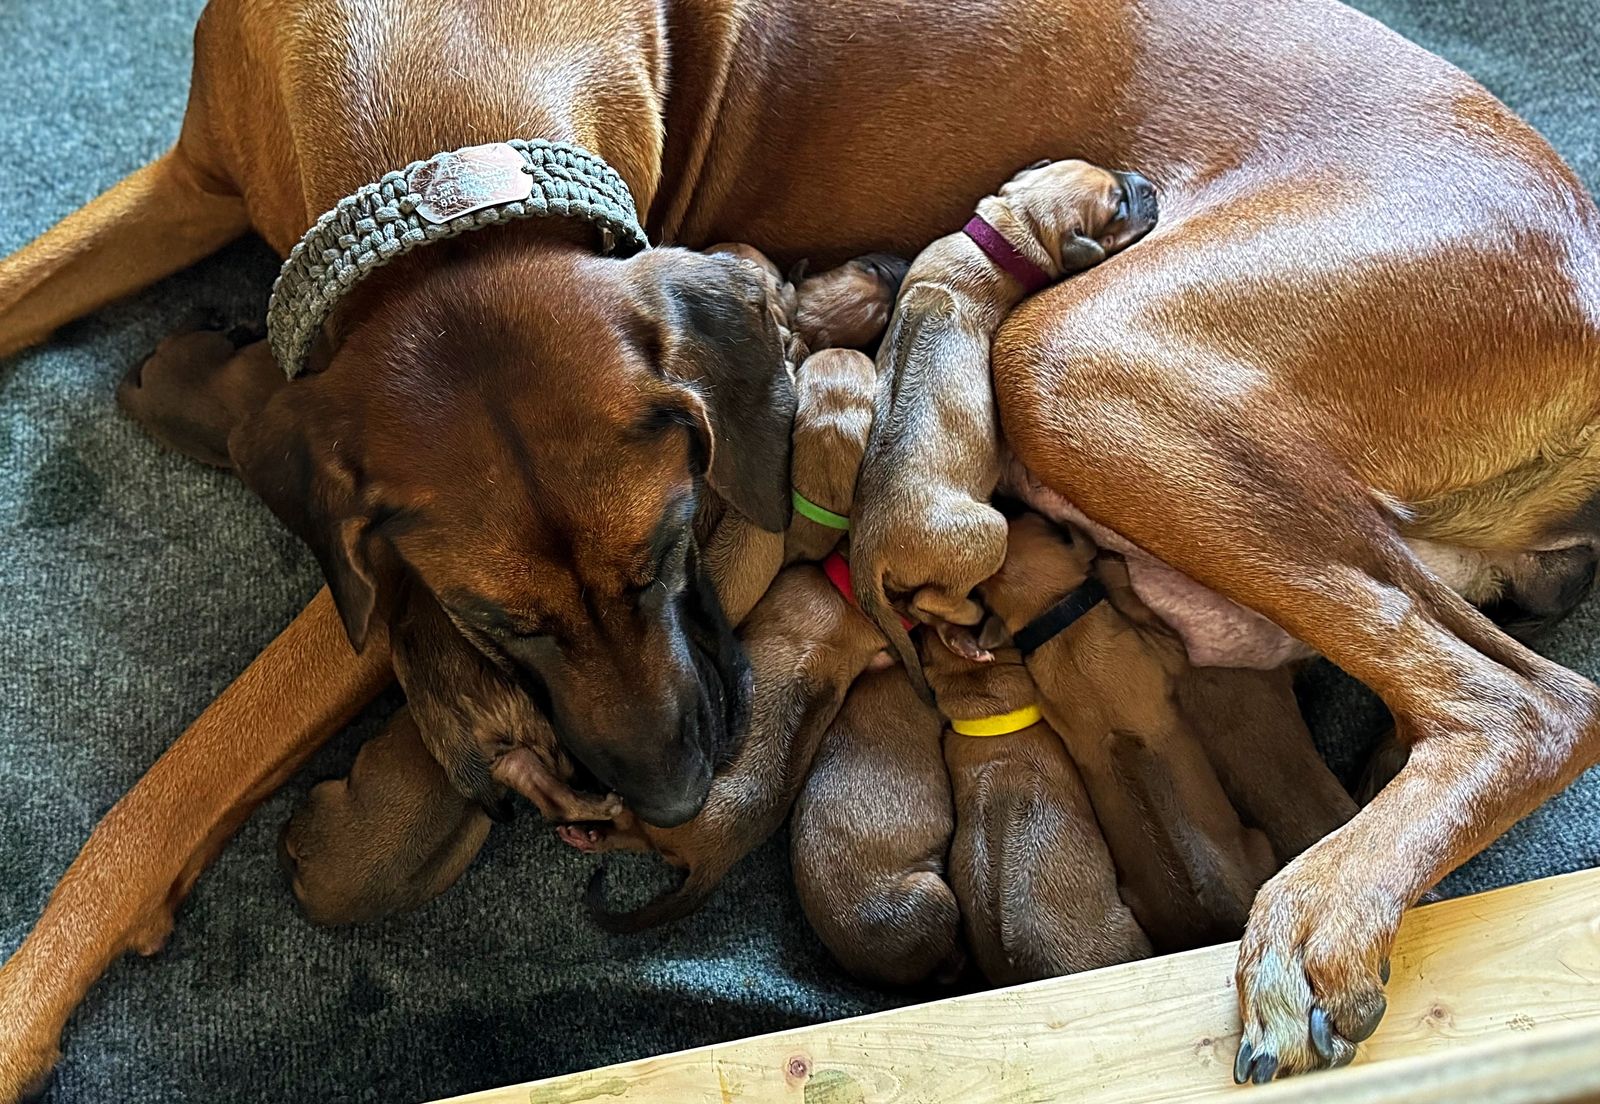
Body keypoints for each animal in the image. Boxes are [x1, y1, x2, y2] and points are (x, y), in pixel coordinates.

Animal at [851, 158, 1157, 674]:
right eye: (1117, 208)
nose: (1149, 186)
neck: (1007, 232)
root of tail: (866, 548)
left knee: (922, 608)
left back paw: (961, 641)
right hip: (990, 532)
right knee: (929, 600)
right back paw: (971, 616)